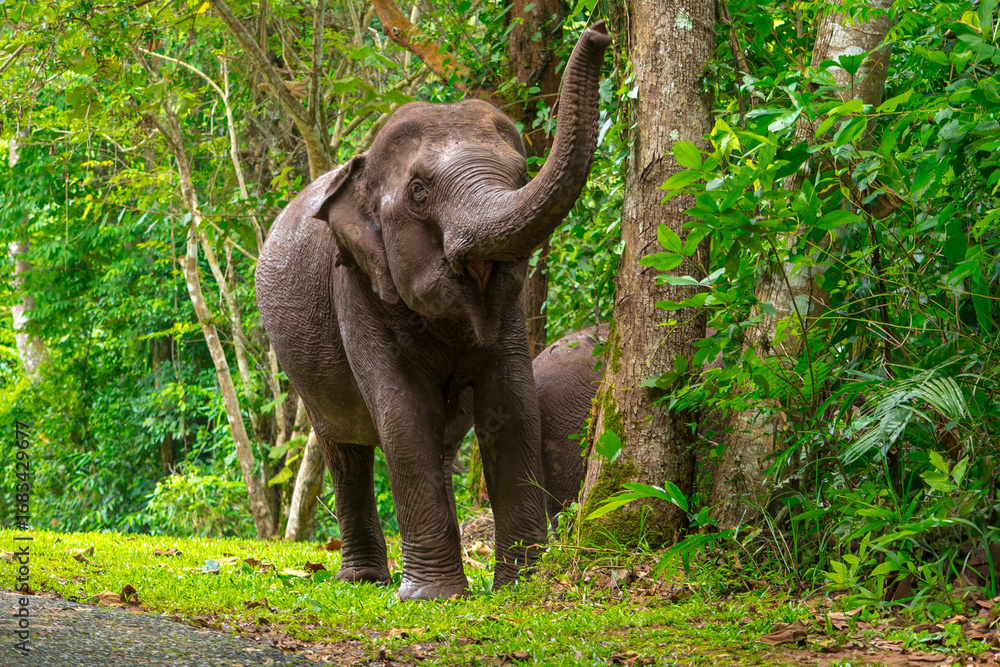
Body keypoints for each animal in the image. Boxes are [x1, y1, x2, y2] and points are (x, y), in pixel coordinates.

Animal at [256, 23, 612, 600]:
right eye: (419, 191)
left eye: (521, 173)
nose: (600, 30)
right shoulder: (352, 287)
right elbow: (402, 411)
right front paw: (433, 597)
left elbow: (511, 405)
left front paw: (520, 588)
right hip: (299, 363)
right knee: (344, 450)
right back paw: (364, 579)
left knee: (442, 443)